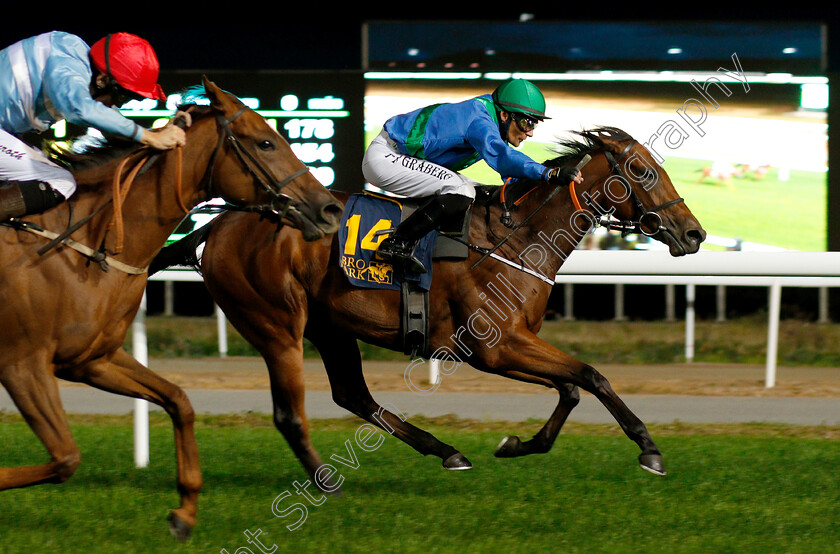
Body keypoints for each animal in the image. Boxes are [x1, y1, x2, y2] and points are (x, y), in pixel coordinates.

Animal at [0, 77, 342, 540]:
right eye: (266, 142)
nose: (330, 209)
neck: (86, 243)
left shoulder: (90, 360)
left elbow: (179, 400)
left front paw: (185, 511)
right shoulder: (22, 364)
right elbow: (65, 458)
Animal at [156, 126, 704, 488]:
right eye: (642, 171)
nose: (694, 234)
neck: (515, 240)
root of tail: (220, 223)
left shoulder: (503, 348)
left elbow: (571, 388)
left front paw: (517, 445)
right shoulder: (497, 347)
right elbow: (592, 376)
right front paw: (650, 449)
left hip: (331, 325)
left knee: (353, 396)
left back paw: (446, 451)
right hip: (275, 321)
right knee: (308, 402)